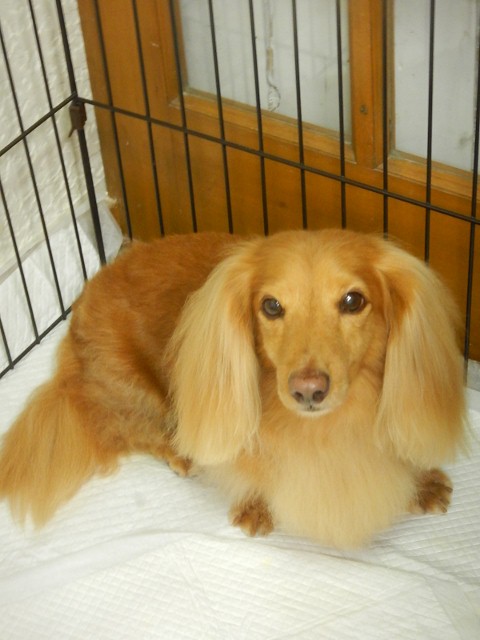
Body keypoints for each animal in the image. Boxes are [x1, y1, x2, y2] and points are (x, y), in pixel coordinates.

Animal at [0, 229, 467, 548]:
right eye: (271, 306)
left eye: (353, 301)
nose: (308, 390)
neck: (332, 428)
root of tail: (79, 304)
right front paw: (254, 505)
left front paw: (422, 481)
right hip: (132, 390)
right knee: (128, 428)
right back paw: (178, 453)